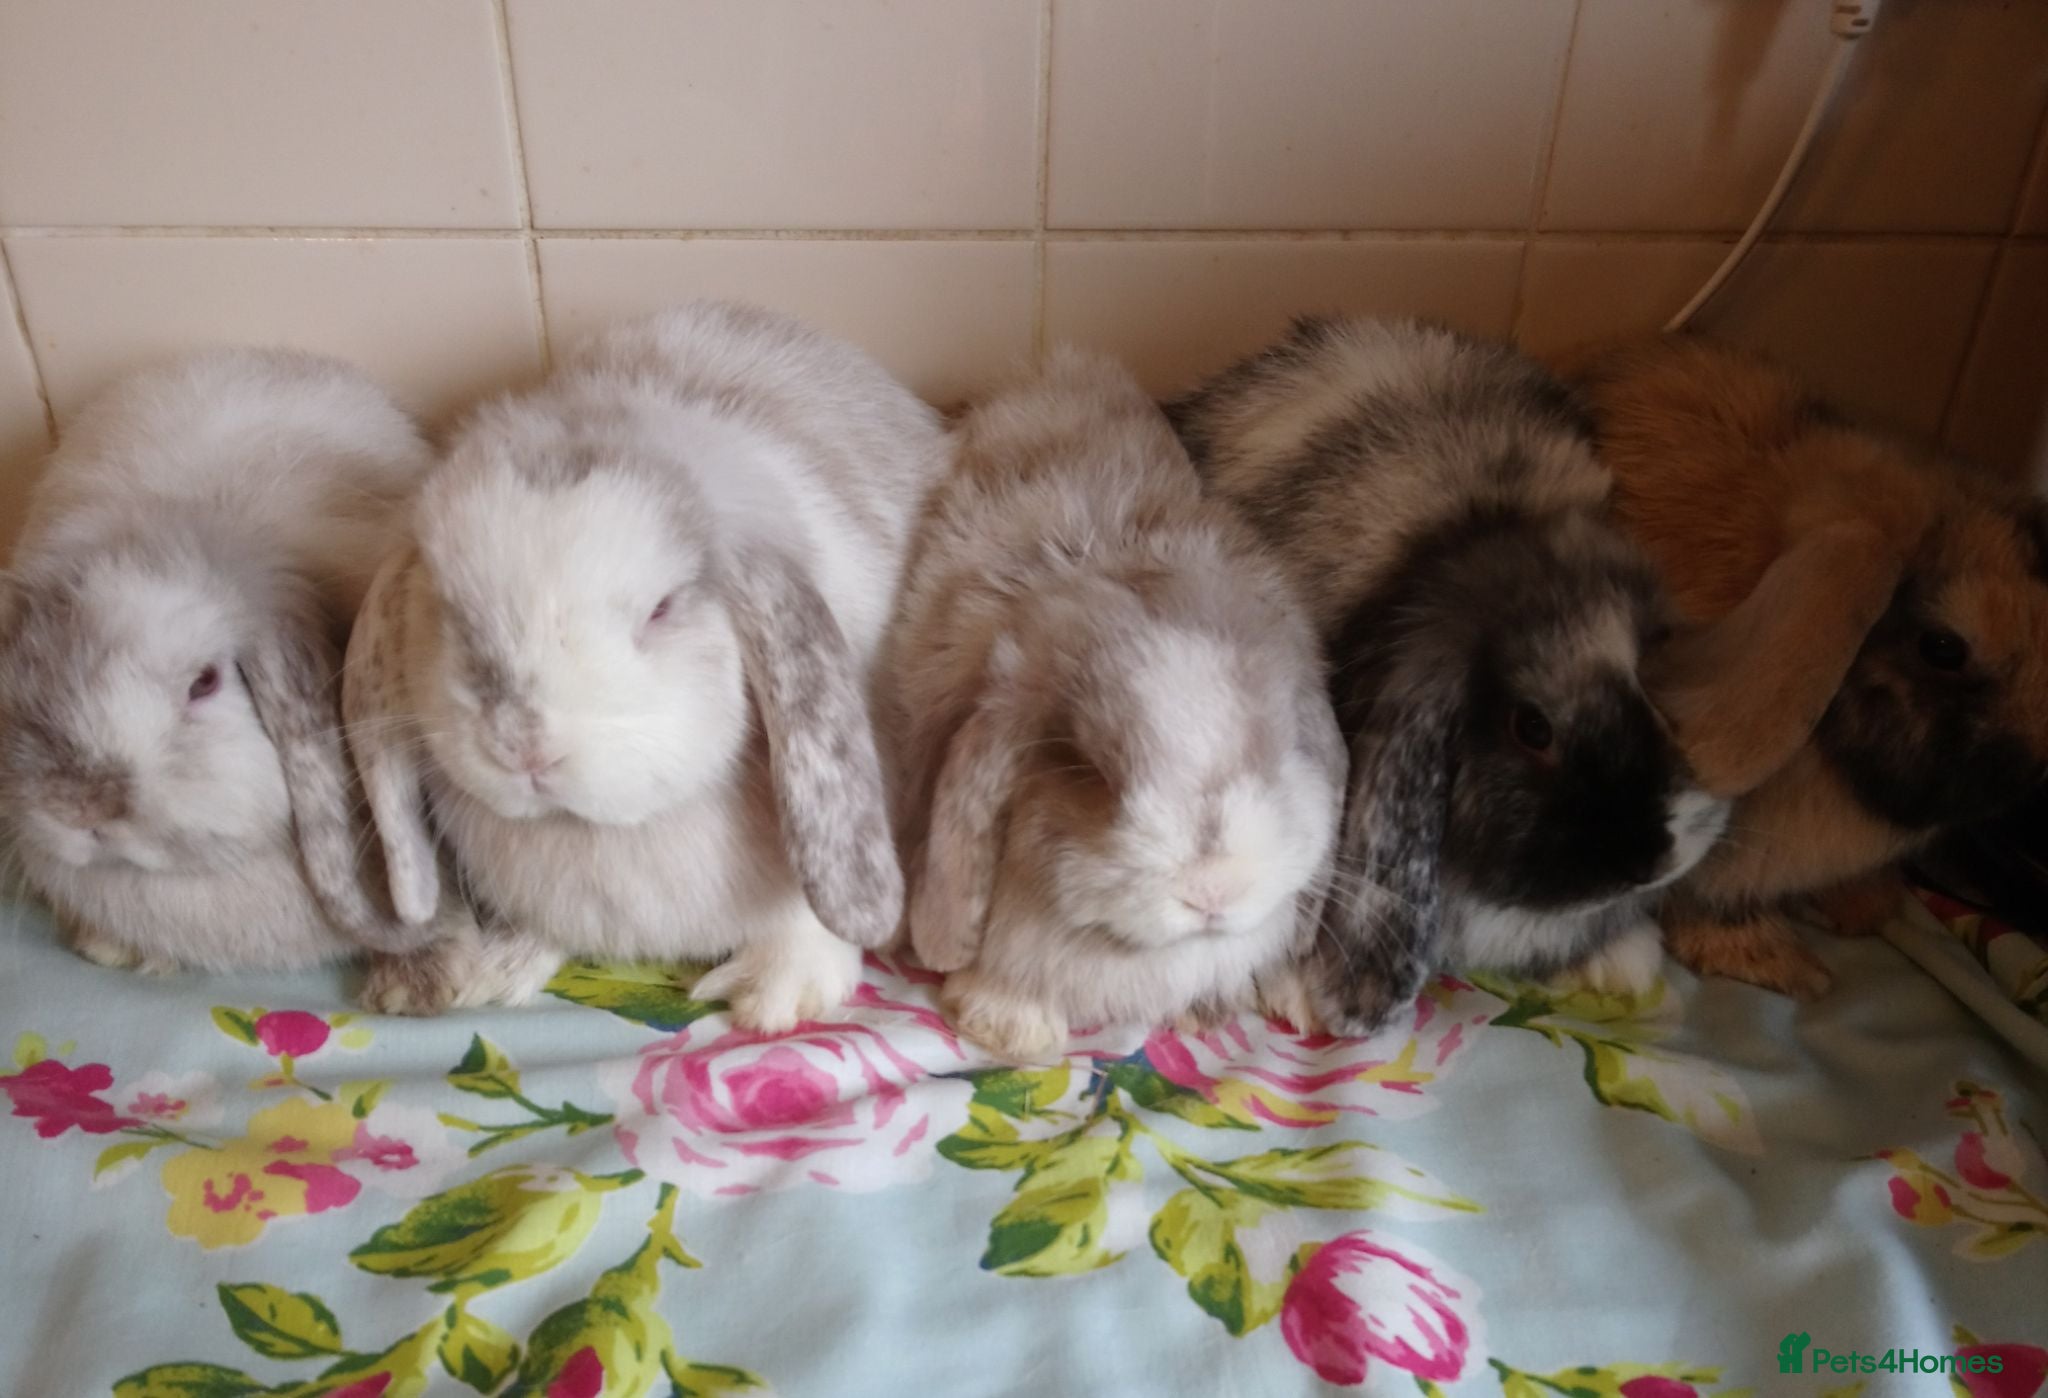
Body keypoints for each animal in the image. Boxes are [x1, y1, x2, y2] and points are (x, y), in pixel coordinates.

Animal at [344, 301, 947, 1030]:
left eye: (661, 608)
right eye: (447, 605)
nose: (522, 743)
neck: (603, 831)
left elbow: (804, 911)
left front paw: (773, 998)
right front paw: (498, 968)